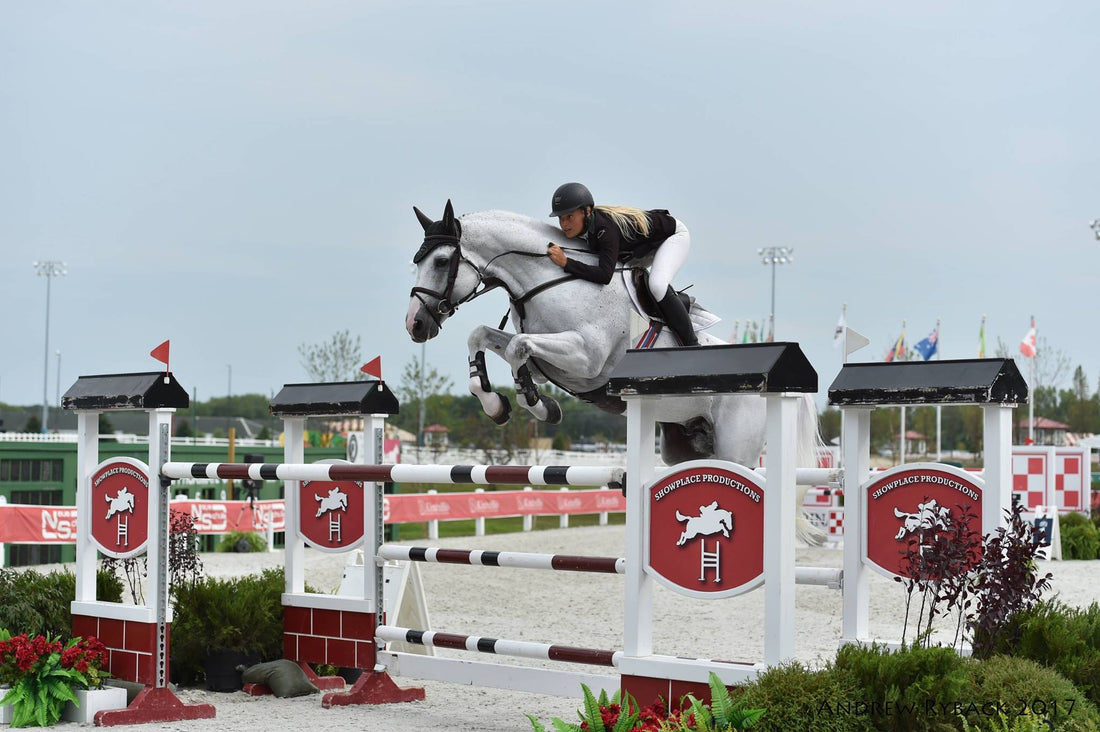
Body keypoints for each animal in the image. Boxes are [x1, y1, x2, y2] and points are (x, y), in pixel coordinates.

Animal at [407, 201, 827, 541]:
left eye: (441, 262)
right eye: (418, 261)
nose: (415, 325)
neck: (550, 278)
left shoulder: (586, 359)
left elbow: (517, 348)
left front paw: (538, 404)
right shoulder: (548, 358)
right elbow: (483, 337)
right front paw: (496, 405)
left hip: (736, 448)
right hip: (685, 447)